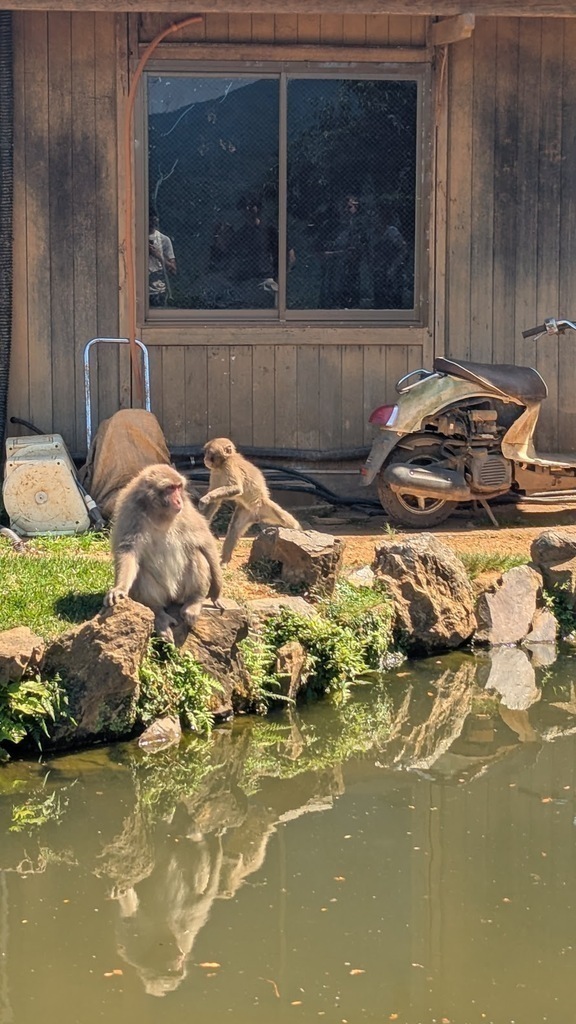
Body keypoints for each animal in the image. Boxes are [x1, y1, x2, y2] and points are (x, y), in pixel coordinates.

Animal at [104, 464, 223, 639]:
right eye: (170, 488)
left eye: (178, 487)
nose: (178, 500)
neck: (159, 512)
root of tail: (172, 597)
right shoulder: (130, 512)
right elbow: (128, 551)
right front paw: (120, 588)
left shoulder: (186, 511)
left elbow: (204, 542)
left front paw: (217, 590)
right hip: (162, 594)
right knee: (142, 573)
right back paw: (159, 614)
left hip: (181, 593)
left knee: (197, 554)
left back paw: (194, 600)